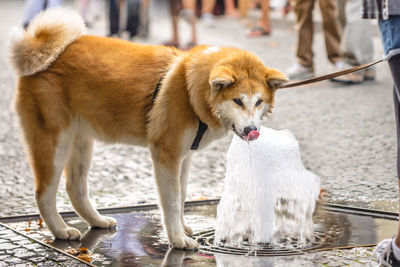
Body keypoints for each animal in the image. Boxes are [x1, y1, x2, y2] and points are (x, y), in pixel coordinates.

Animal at [9, 9, 288, 250]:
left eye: (258, 102)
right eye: (237, 101)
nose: (252, 129)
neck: (189, 89)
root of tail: (40, 51)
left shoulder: (185, 157)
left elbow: (182, 196)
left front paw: (183, 228)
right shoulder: (166, 156)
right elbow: (172, 202)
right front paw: (177, 239)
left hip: (81, 141)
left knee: (75, 189)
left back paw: (97, 221)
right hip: (54, 143)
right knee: (43, 193)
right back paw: (61, 230)